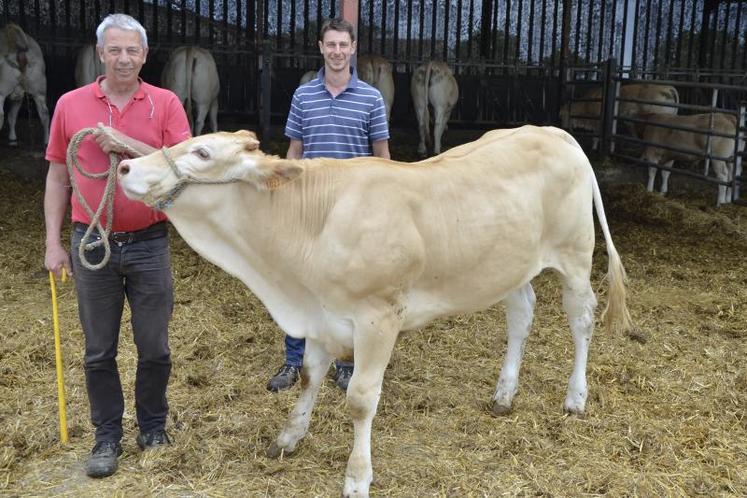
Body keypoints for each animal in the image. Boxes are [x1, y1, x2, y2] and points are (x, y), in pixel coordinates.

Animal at [117, 126, 632, 496]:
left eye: (202, 153)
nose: (124, 166)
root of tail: (553, 131)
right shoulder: (320, 315)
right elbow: (309, 376)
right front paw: (289, 437)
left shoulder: (378, 316)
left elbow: (361, 399)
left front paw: (356, 477)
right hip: (511, 265)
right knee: (521, 315)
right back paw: (504, 393)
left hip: (574, 255)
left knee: (582, 319)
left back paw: (575, 398)